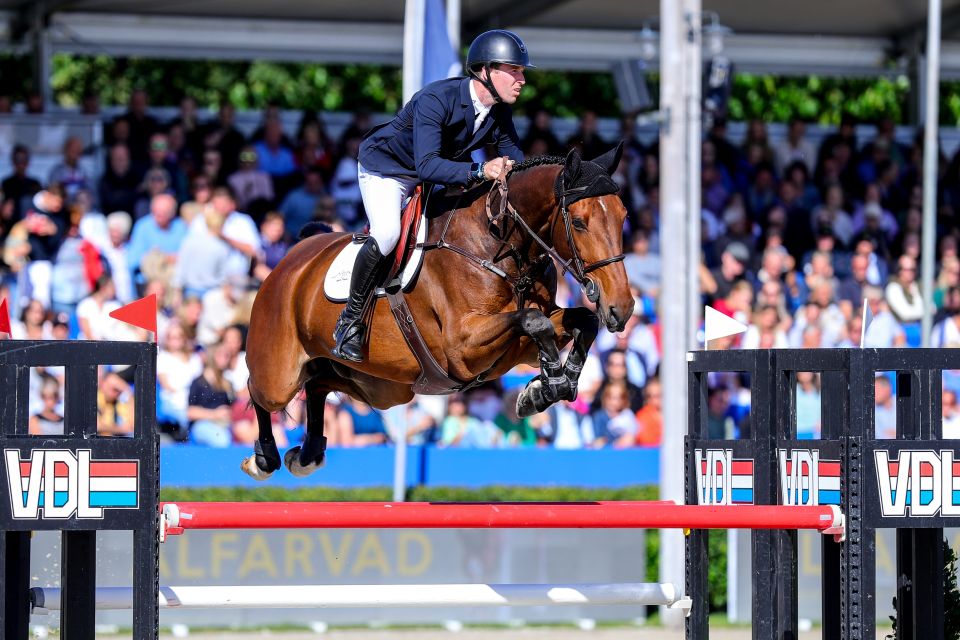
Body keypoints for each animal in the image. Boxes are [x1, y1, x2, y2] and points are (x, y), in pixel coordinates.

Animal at [242, 141, 632, 480]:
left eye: (623, 216)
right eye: (579, 222)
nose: (623, 308)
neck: (500, 246)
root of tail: (293, 258)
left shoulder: (515, 346)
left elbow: (580, 320)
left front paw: (547, 387)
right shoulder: (462, 347)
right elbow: (534, 321)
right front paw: (550, 383)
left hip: (381, 386)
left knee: (319, 384)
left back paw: (306, 455)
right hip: (279, 372)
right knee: (259, 389)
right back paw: (264, 460)